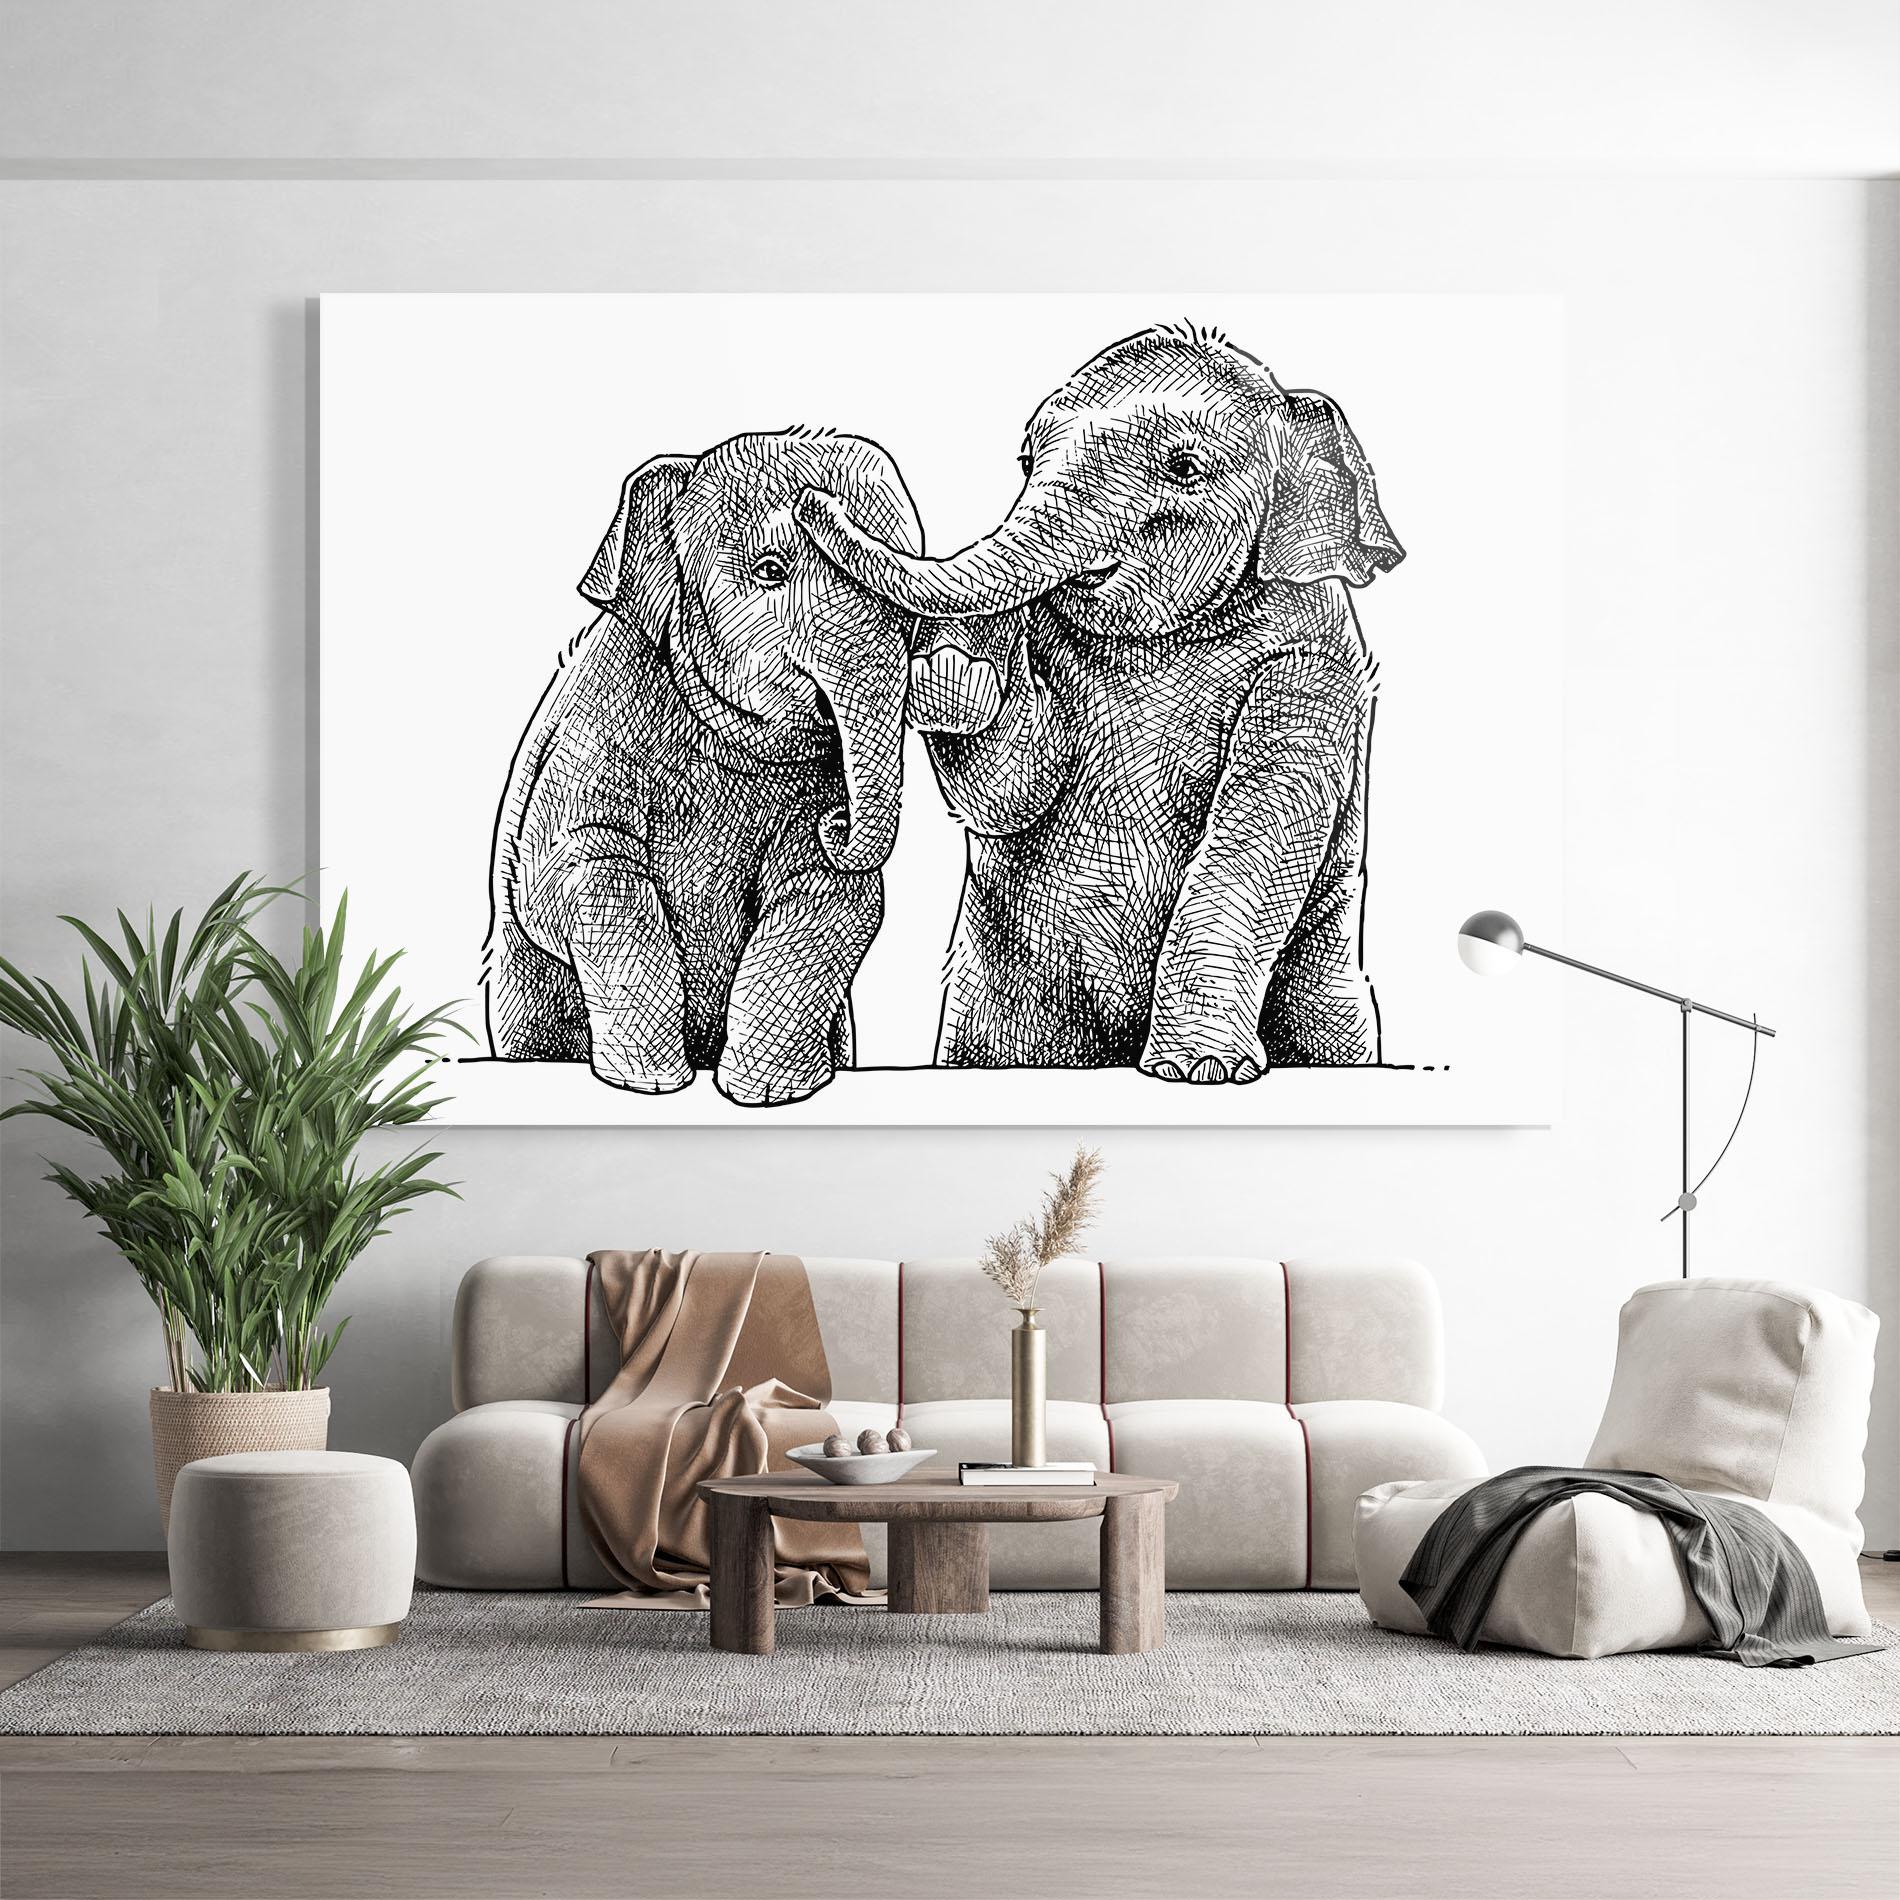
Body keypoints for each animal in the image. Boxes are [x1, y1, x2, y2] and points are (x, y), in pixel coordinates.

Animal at [485, 428, 920, 1106]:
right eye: (771, 570)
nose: (837, 823)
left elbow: (829, 898)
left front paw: (770, 1094)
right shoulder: (588, 746)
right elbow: (587, 879)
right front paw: (651, 1086)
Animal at [796, 324, 1403, 1081]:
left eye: (1184, 466)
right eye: (1028, 461)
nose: (811, 504)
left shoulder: (1315, 663)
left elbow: (1260, 829)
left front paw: (1197, 1070)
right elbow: (1013, 792)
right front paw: (955, 671)